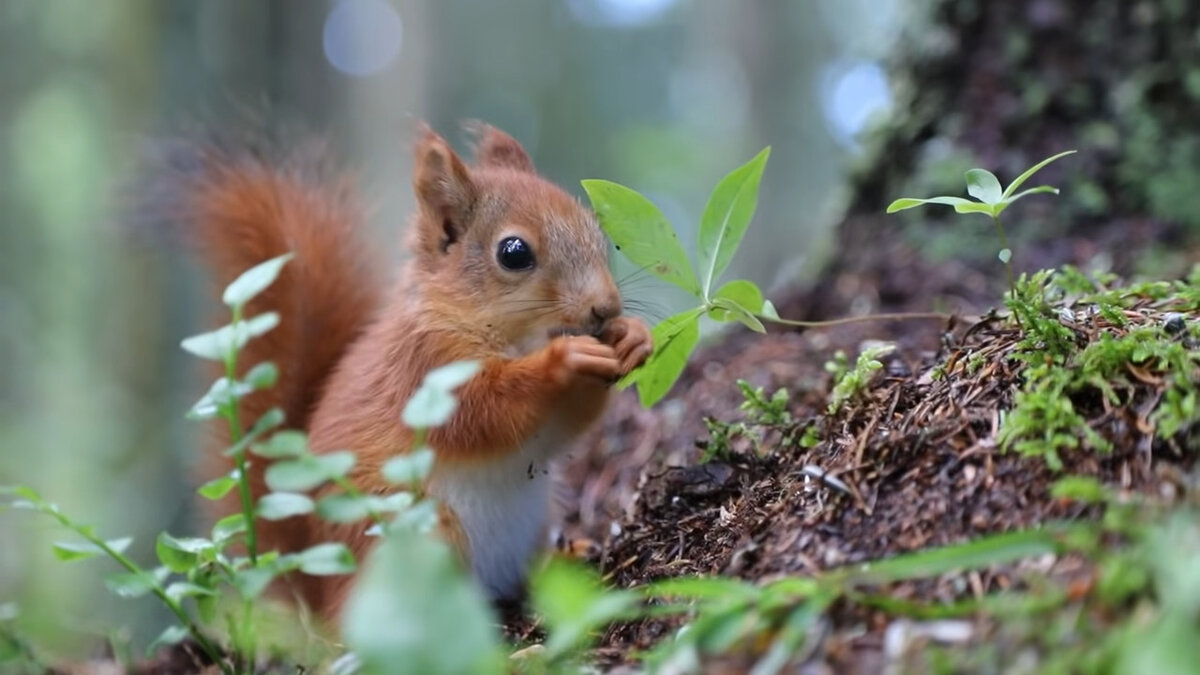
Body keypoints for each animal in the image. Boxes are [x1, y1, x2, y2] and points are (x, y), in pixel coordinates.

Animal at [151, 121, 657, 619]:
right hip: (415, 536)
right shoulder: (426, 368)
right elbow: (484, 412)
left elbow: (565, 426)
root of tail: (318, 597)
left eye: (595, 229)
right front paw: (563, 360)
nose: (605, 308)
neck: (512, 337)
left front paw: (633, 336)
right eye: (514, 253)